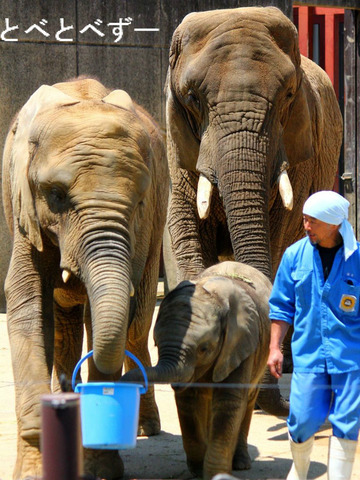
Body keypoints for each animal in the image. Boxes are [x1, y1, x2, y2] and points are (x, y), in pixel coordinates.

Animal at [2, 77, 169, 478]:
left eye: (139, 201)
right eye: (56, 195)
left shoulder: (141, 226)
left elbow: (108, 313)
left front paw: (102, 467)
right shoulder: (24, 207)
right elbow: (28, 303)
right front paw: (34, 468)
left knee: (136, 326)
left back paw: (145, 426)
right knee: (64, 327)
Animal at [122, 262, 272, 480]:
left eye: (204, 349)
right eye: (156, 344)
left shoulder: (239, 345)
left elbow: (229, 401)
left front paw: (216, 474)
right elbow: (188, 400)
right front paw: (197, 471)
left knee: (249, 399)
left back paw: (241, 464)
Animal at [163, 3, 344, 416]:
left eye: (289, 94)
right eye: (193, 98)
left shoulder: (299, 150)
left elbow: (277, 241)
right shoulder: (179, 149)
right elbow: (185, 232)